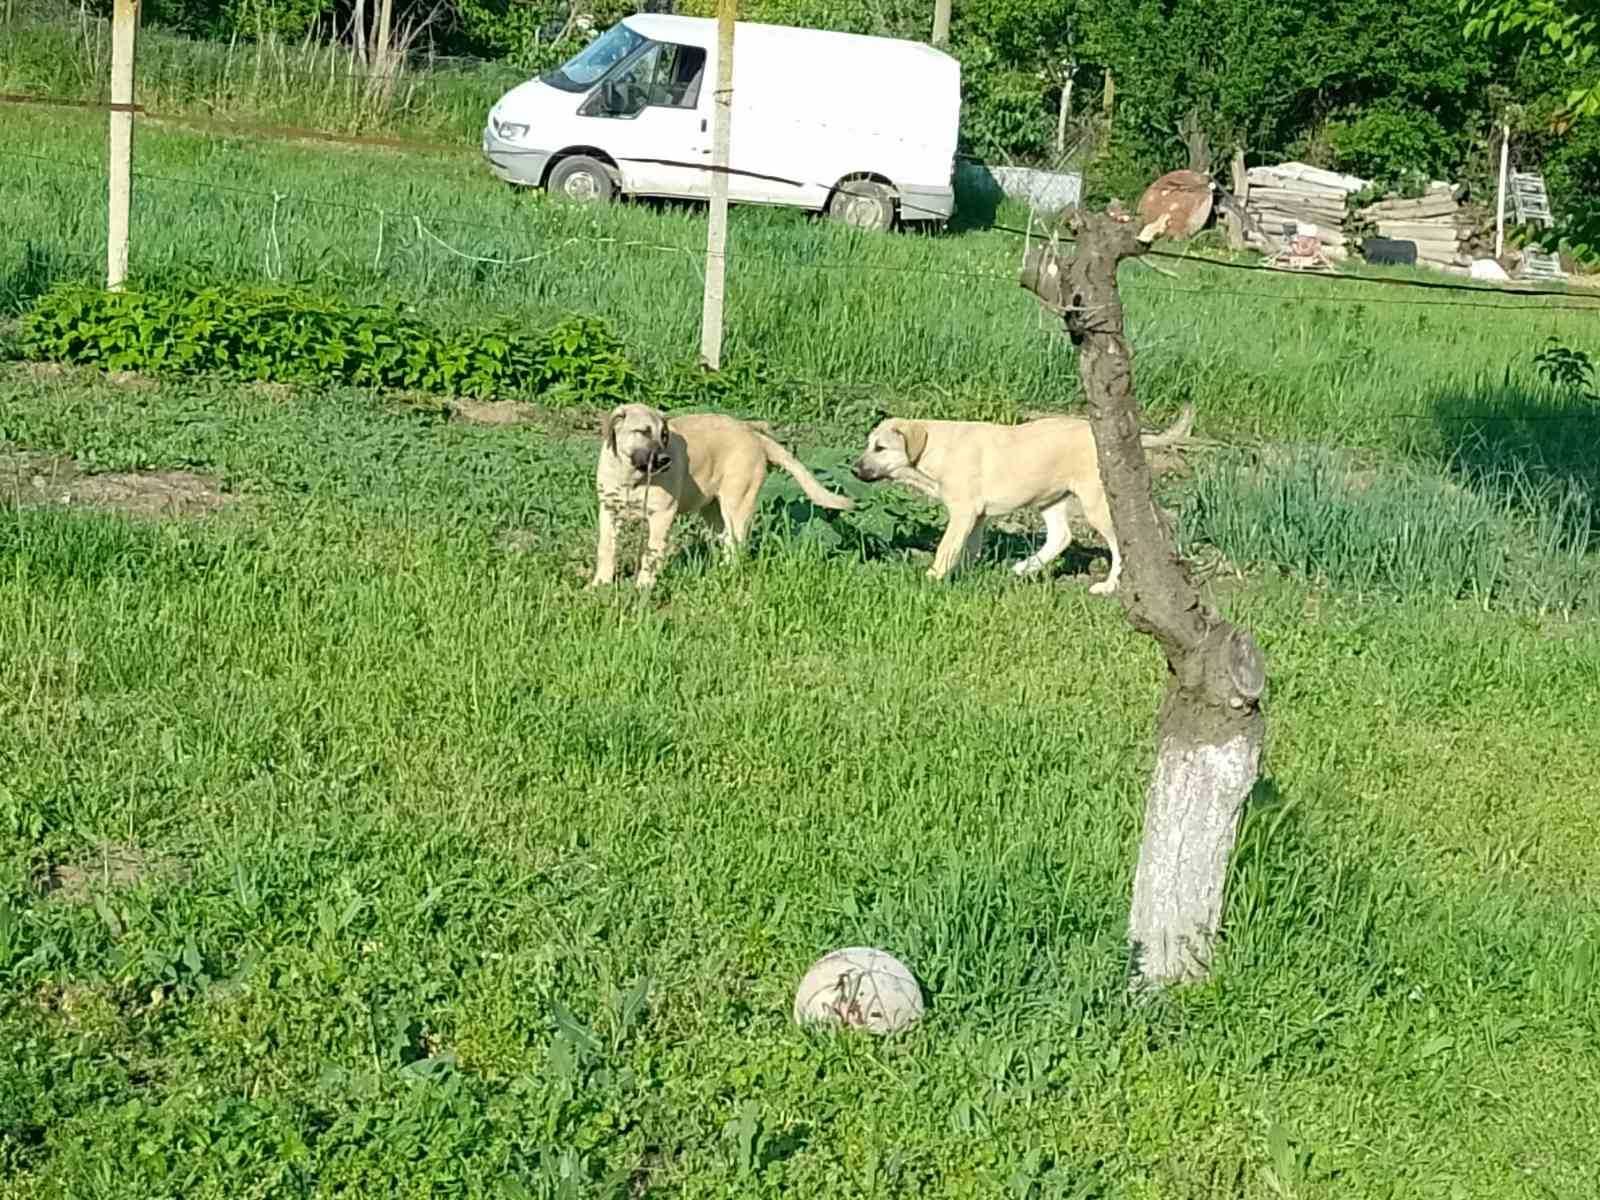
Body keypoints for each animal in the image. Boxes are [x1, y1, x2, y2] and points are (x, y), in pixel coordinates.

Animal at [595, 406, 857, 588]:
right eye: (642, 432)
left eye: (664, 436)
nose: (665, 460)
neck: (630, 477)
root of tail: (753, 434)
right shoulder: (608, 511)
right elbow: (605, 548)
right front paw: (600, 583)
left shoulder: (662, 515)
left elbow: (651, 553)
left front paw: (643, 586)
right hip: (712, 510)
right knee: (726, 541)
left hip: (737, 504)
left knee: (736, 544)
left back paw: (726, 575)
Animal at [857, 409, 1196, 592]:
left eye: (880, 448)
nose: (853, 469)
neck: (934, 448)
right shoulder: (976, 517)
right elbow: (967, 549)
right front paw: (963, 575)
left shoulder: (964, 511)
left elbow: (946, 547)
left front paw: (932, 578)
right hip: (1049, 498)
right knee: (1062, 536)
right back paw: (1026, 567)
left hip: (1096, 502)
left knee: (1118, 546)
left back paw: (1108, 585)